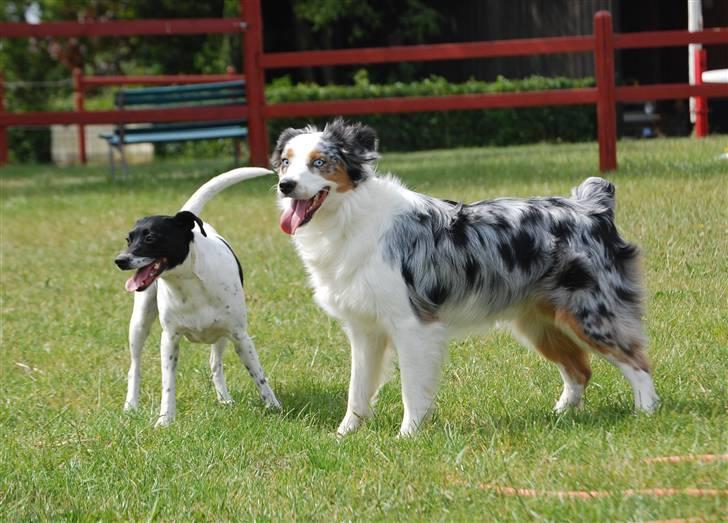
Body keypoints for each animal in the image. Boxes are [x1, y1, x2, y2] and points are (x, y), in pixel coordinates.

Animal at [115, 170, 280, 428]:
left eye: (150, 238)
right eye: (128, 239)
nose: (120, 260)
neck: (188, 283)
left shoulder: (240, 336)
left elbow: (258, 374)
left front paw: (273, 405)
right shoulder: (169, 339)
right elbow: (168, 384)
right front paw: (165, 419)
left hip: (221, 335)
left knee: (215, 363)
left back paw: (224, 398)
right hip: (139, 324)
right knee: (135, 366)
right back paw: (130, 405)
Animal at [272, 119, 660, 438]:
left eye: (320, 162)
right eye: (286, 162)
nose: (285, 185)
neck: (348, 218)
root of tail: (592, 209)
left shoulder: (412, 324)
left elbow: (411, 389)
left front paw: (407, 436)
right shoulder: (365, 329)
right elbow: (358, 389)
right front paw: (344, 435)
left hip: (591, 312)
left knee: (637, 361)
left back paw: (646, 412)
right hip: (538, 323)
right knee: (580, 369)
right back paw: (561, 415)